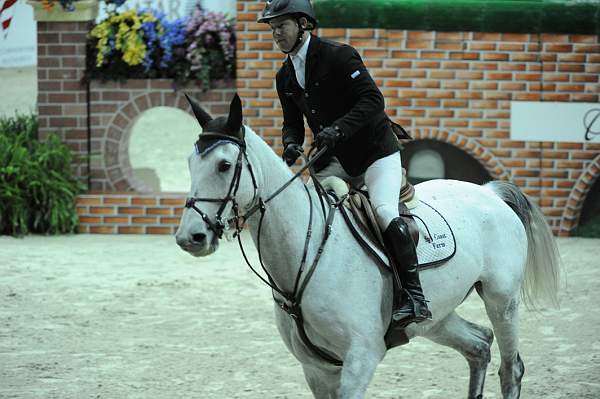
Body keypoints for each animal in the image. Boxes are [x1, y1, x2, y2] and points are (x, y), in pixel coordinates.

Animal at [176, 94, 560, 399]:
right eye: (190, 163)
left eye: (225, 165)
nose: (189, 237)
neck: (308, 254)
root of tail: (488, 192)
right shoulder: (317, 370)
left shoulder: (360, 361)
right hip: (437, 317)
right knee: (479, 346)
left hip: (501, 300)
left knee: (511, 369)